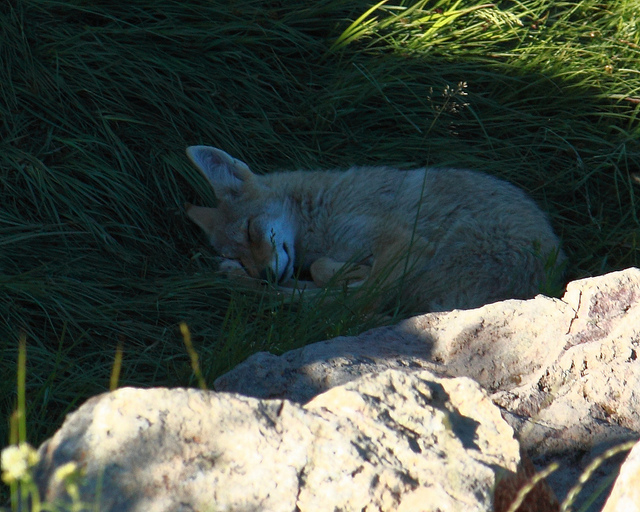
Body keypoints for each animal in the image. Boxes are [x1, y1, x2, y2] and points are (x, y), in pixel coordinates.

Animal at [185, 145, 564, 313]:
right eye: (240, 253)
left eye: (251, 231)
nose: (260, 272)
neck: (321, 210)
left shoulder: (405, 244)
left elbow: (330, 274)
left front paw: (347, 270)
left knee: (348, 302)